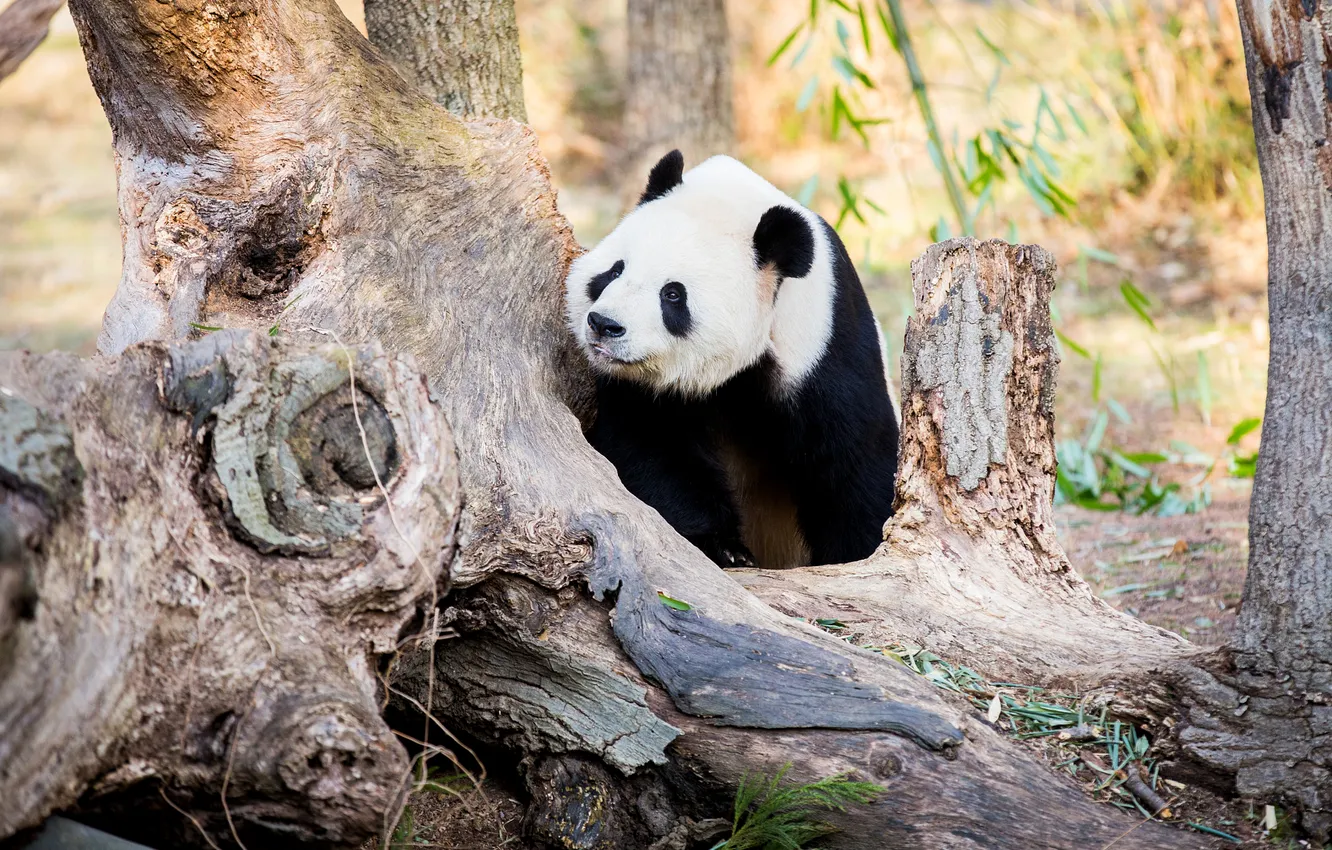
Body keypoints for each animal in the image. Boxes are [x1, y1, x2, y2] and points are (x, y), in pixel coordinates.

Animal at [565, 150, 899, 569]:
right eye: (614, 271)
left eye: (672, 294)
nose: (604, 325)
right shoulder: (639, 390)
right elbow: (654, 449)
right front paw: (724, 548)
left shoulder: (825, 348)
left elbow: (853, 463)